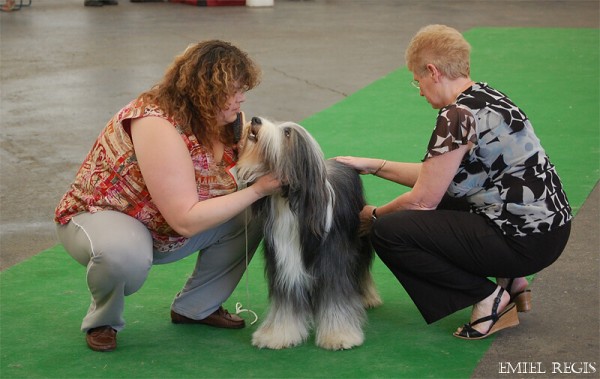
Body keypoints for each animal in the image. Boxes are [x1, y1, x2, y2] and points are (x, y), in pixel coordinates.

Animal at [234, 117, 380, 352]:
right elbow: (285, 303)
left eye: (287, 133)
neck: (289, 202)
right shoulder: (285, 263)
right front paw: (278, 335)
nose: (255, 120)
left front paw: (339, 336)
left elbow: (335, 299)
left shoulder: (332, 262)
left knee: (361, 270)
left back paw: (367, 298)